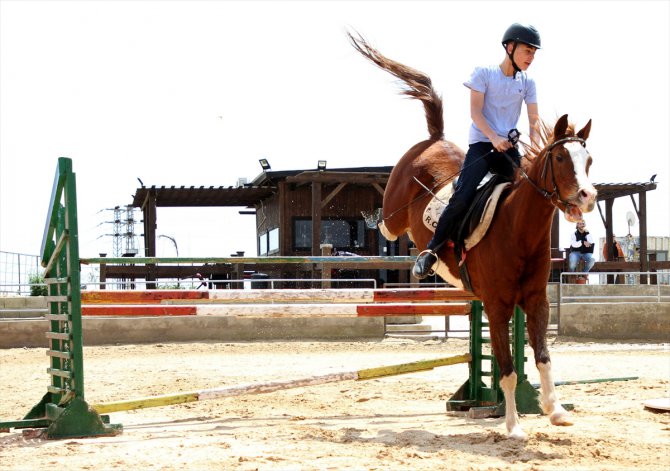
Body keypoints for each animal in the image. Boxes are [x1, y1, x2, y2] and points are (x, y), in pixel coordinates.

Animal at [352, 32, 600, 438]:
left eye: (589, 161)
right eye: (561, 159)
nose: (587, 196)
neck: (518, 229)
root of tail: (433, 139)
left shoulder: (536, 302)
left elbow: (542, 357)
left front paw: (555, 410)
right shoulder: (498, 306)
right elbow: (508, 369)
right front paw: (513, 426)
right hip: (397, 206)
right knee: (389, 222)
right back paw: (380, 225)